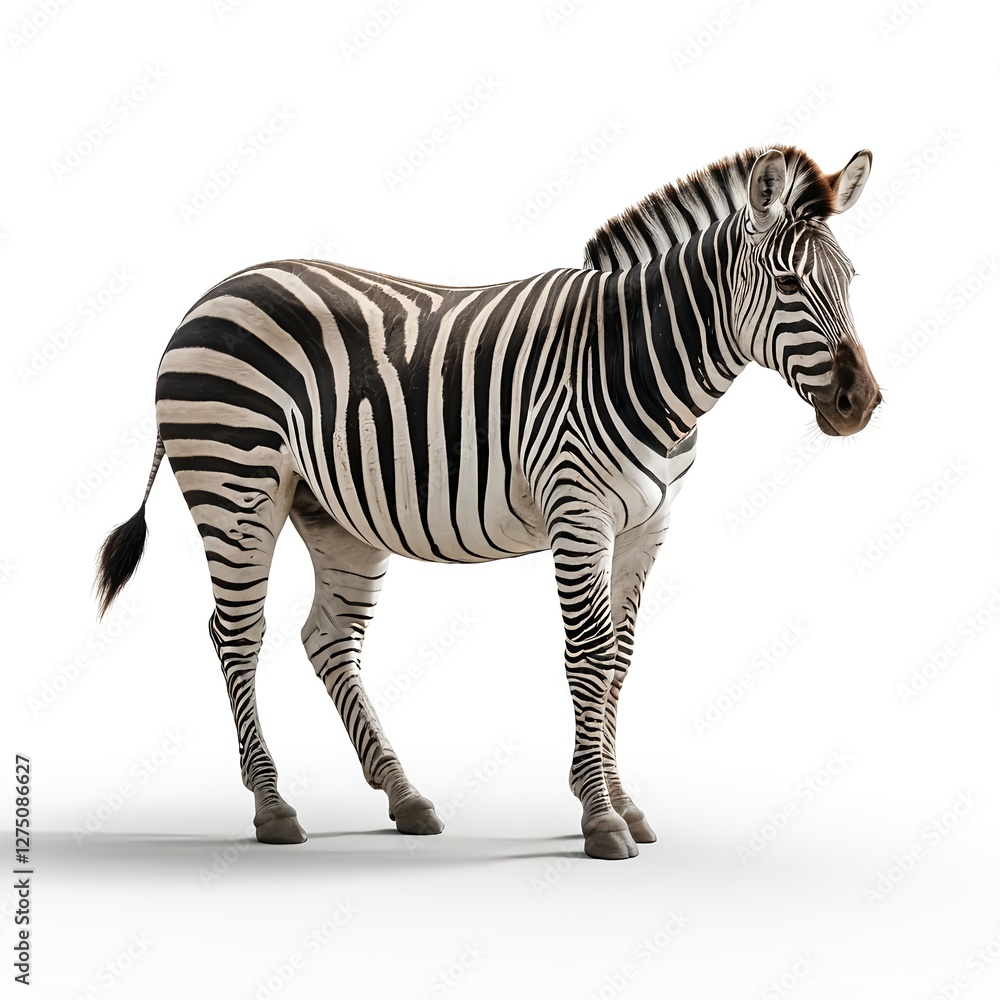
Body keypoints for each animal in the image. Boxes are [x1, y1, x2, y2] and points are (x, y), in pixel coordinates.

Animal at [96, 145, 880, 861]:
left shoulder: (648, 527)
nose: (862, 402)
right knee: (236, 634)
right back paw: (272, 806)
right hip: (236, 484)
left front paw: (619, 798)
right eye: (787, 282)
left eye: (850, 280)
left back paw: (404, 795)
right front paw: (601, 817)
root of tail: (215, 289)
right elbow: (590, 654)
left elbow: (623, 657)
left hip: (332, 512)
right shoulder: (578, 510)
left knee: (328, 637)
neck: (639, 363)